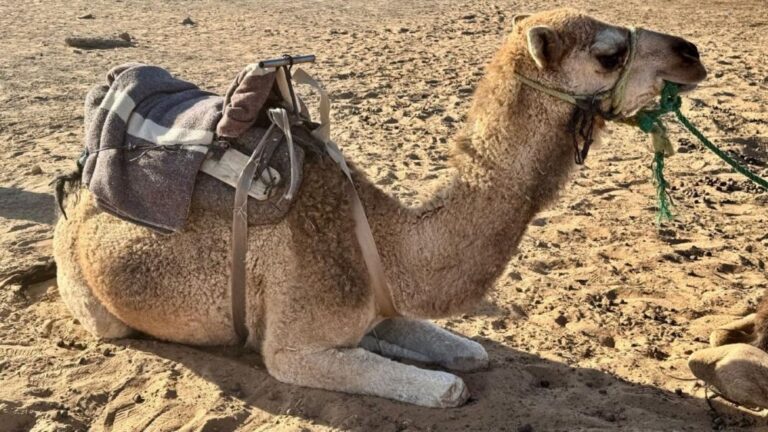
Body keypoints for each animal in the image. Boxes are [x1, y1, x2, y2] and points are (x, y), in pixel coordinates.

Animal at [53, 9, 707, 407]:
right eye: (608, 53)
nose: (692, 53)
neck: (387, 242)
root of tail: (74, 187)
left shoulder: (380, 302)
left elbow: (469, 351)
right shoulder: (293, 348)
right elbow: (448, 388)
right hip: (89, 295)